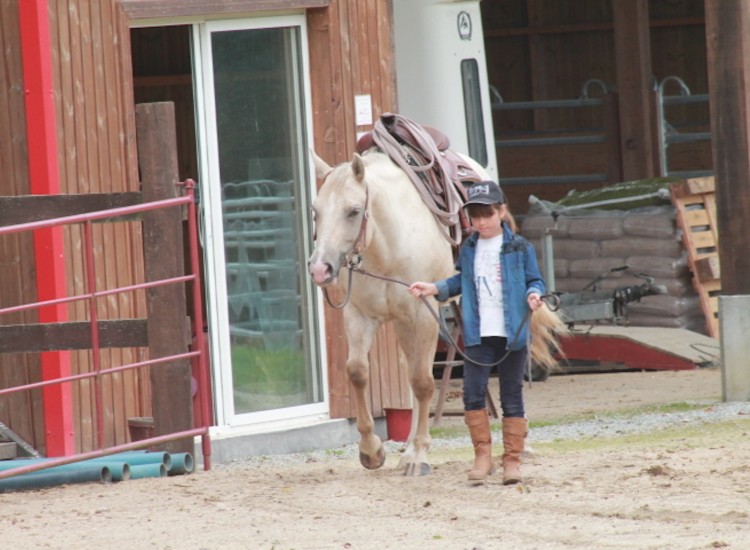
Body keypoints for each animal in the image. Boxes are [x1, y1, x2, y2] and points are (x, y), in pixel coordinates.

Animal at [308, 148, 566, 476]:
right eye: (315, 211)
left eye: (353, 211)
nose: (320, 269)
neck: (386, 247)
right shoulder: (359, 315)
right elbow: (357, 371)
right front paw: (372, 450)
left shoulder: (423, 315)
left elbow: (422, 382)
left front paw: (419, 455)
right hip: (403, 326)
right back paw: (406, 449)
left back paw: (523, 443)